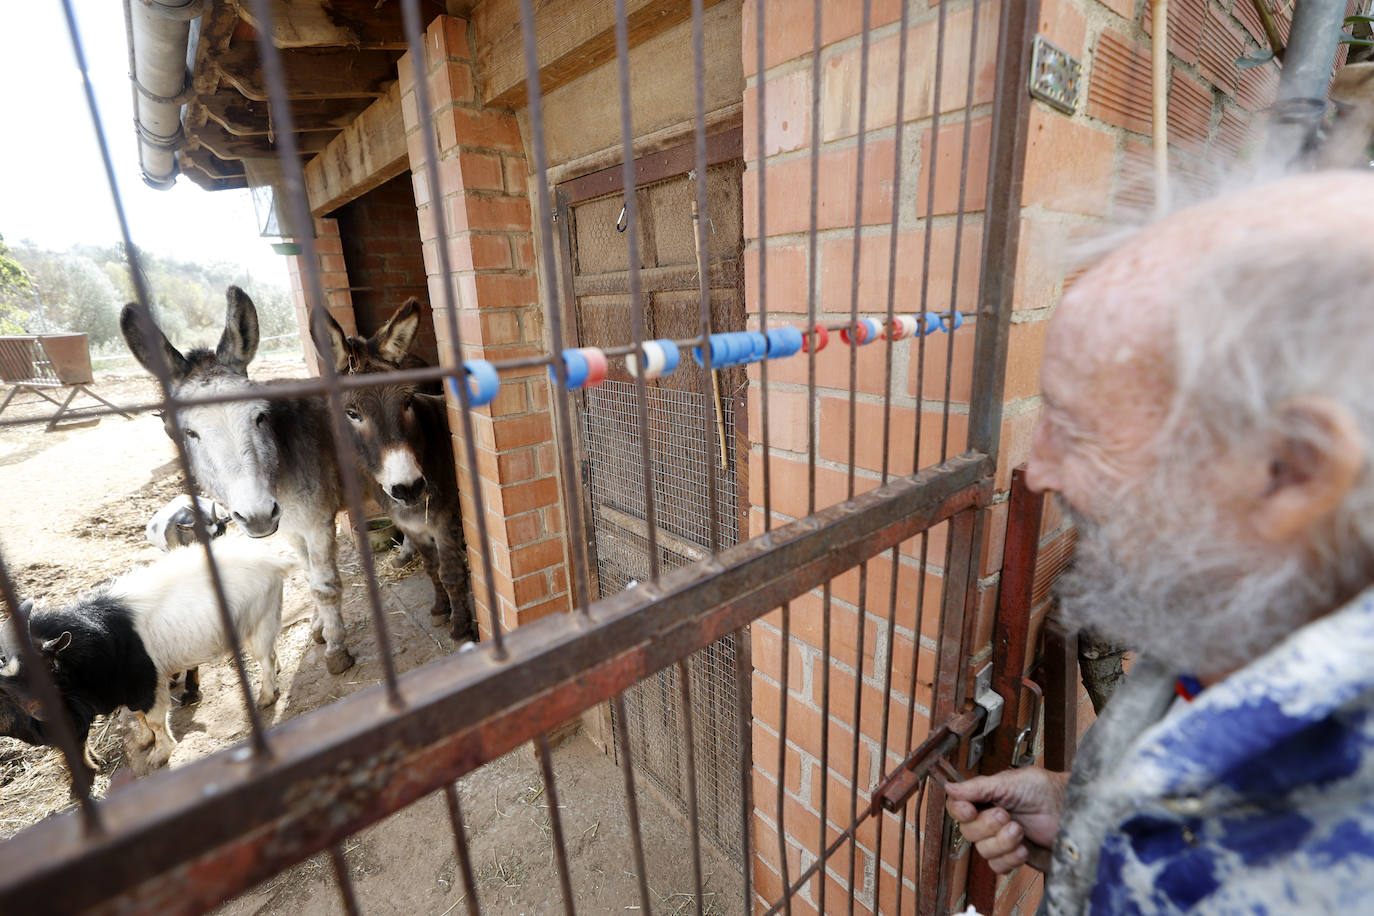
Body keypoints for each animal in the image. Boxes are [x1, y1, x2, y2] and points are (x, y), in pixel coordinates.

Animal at [2, 541, 292, 769]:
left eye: (49, 664)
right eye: (5, 687)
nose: (39, 711)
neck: (102, 637)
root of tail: (273, 560)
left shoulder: (146, 685)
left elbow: (153, 720)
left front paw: (160, 754)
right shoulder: (127, 690)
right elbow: (139, 717)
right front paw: (144, 742)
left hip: (259, 621)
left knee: (265, 660)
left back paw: (266, 697)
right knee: (272, 652)